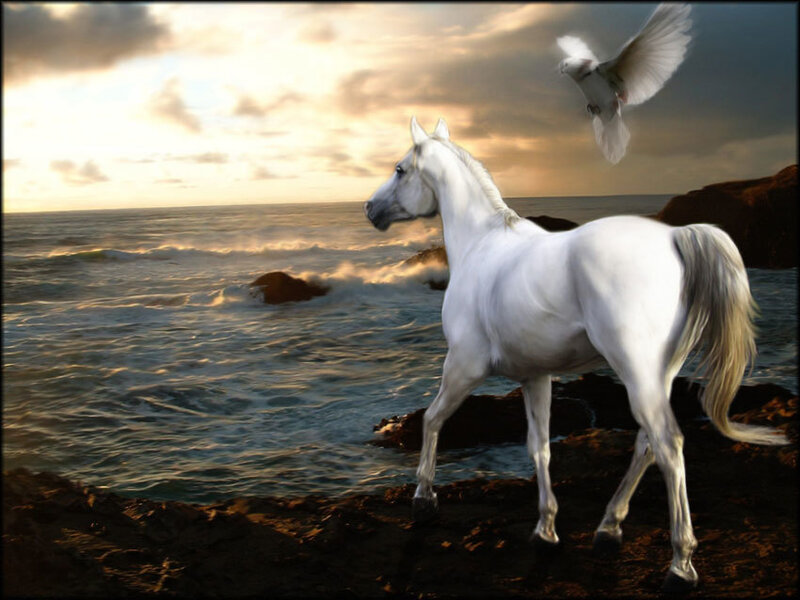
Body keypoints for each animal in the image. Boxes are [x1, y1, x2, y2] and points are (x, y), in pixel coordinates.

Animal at [364, 117, 788, 592]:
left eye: (400, 169)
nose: (369, 208)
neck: (481, 248)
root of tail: (677, 236)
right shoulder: (535, 376)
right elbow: (540, 447)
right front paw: (546, 530)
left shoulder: (463, 366)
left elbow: (433, 420)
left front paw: (424, 500)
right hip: (658, 374)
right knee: (645, 442)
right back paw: (609, 529)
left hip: (636, 371)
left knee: (667, 444)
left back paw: (680, 565)